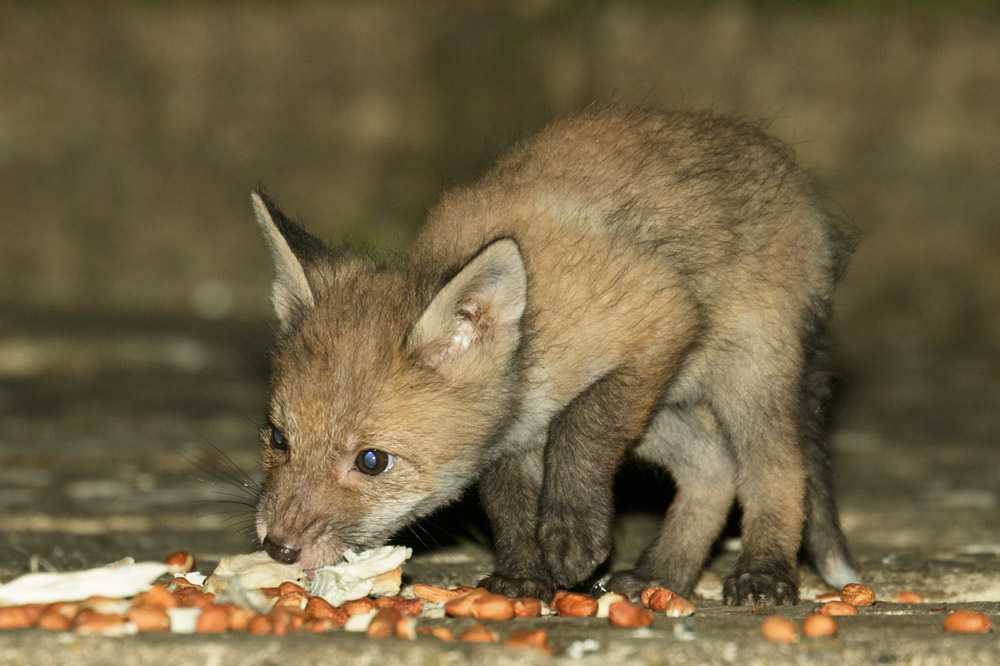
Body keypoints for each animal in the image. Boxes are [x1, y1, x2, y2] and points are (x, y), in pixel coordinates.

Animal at [251, 106, 858, 606]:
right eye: (278, 439)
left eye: (372, 461)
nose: (278, 548)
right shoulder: (507, 435)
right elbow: (508, 502)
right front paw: (524, 576)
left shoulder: (658, 317)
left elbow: (579, 429)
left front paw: (569, 535)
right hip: (662, 410)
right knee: (714, 470)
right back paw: (663, 574)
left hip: (739, 375)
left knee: (776, 470)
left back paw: (764, 572)